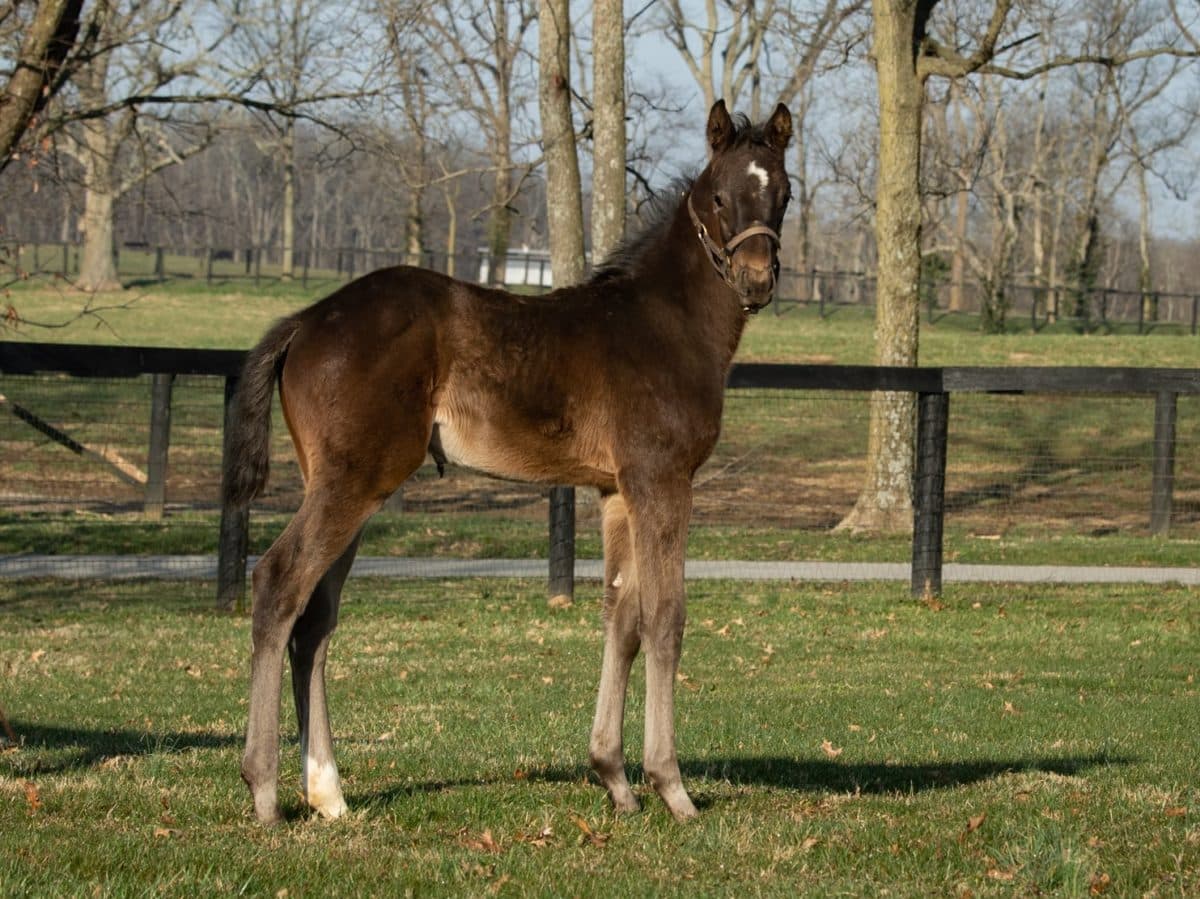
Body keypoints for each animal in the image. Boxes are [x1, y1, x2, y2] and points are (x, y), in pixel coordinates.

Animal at [225, 98, 792, 820]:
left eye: (783, 194)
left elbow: (622, 619)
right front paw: (672, 787)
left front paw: (615, 779)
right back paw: (267, 791)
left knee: (316, 617)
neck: (663, 323)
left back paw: (329, 792)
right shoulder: (661, 480)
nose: (757, 279)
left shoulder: (616, 491)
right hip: (355, 480)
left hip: (343, 482)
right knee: (278, 585)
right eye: (720, 195)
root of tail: (305, 320)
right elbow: (666, 618)